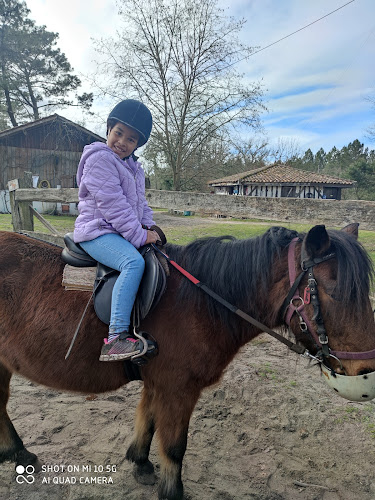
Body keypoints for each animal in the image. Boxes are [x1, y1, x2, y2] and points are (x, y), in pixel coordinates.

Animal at [0, 225, 374, 498]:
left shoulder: (159, 384)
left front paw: (141, 464)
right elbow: (175, 446)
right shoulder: (178, 388)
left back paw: (18, 454)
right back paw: (18, 453)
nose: (365, 370)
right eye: (334, 291)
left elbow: (148, 422)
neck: (199, 301)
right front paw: (172, 491)